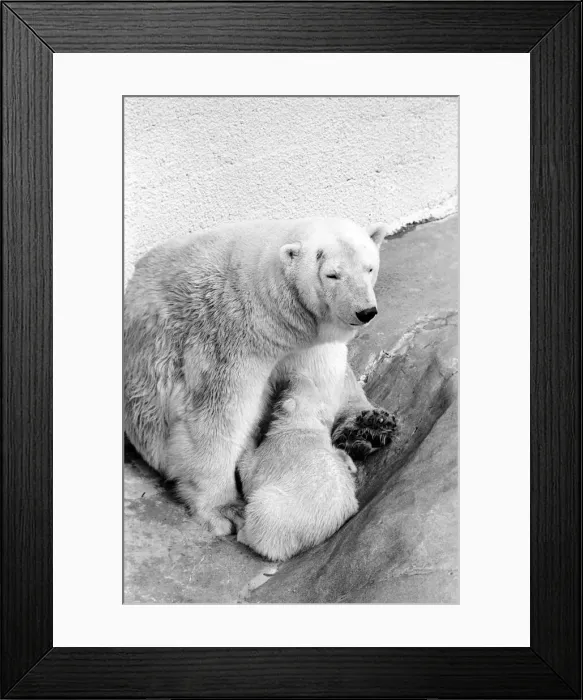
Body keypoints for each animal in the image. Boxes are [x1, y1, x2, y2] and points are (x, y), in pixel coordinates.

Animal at [124, 218, 397, 535]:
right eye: (332, 275)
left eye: (369, 268)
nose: (365, 311)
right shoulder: (228, 339)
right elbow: (214, 420)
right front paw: (226, 510)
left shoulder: (306, 345)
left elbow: (319, 382)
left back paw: (369, 426)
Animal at [234, 348, 359, 562]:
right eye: (307, 381)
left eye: (290, 382)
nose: (292, 372)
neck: (301, 425)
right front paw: (348, 462)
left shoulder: (275, 450)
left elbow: (250, 475)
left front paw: (251, 434)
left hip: (278, 514)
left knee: (262, 514)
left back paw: (243, 532)